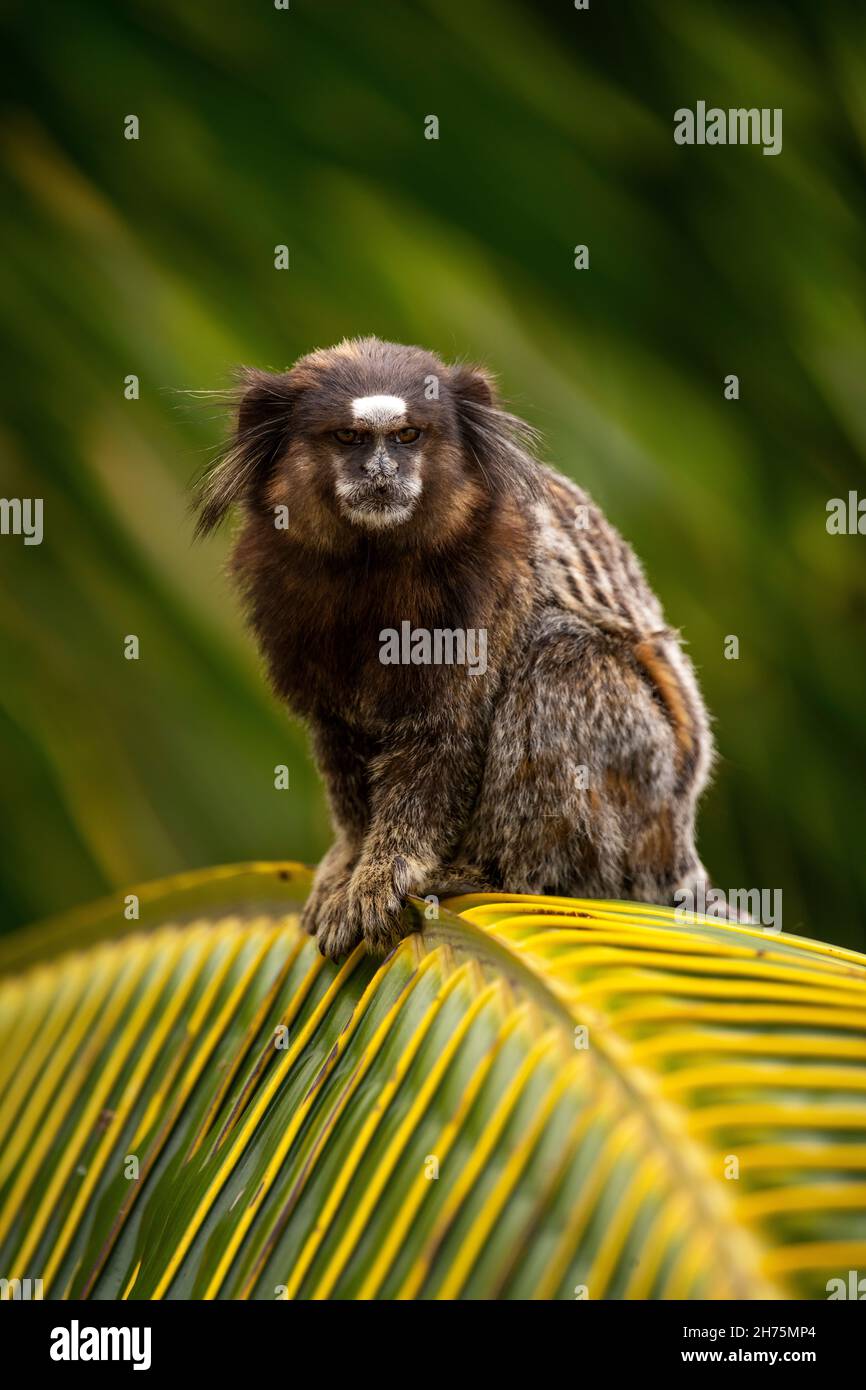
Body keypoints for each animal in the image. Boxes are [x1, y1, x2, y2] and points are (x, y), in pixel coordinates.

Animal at [194, 341, 711, 961]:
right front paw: (347, 863)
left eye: (408, 436)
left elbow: (445, 734)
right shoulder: (281, 587)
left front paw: (380, 877)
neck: (371, 565)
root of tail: (677, 837)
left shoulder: (490, 581)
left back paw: (488, 872)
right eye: (348, 438)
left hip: (642, 780)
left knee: (560, 660)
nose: (381, 473)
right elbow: (339, 737)